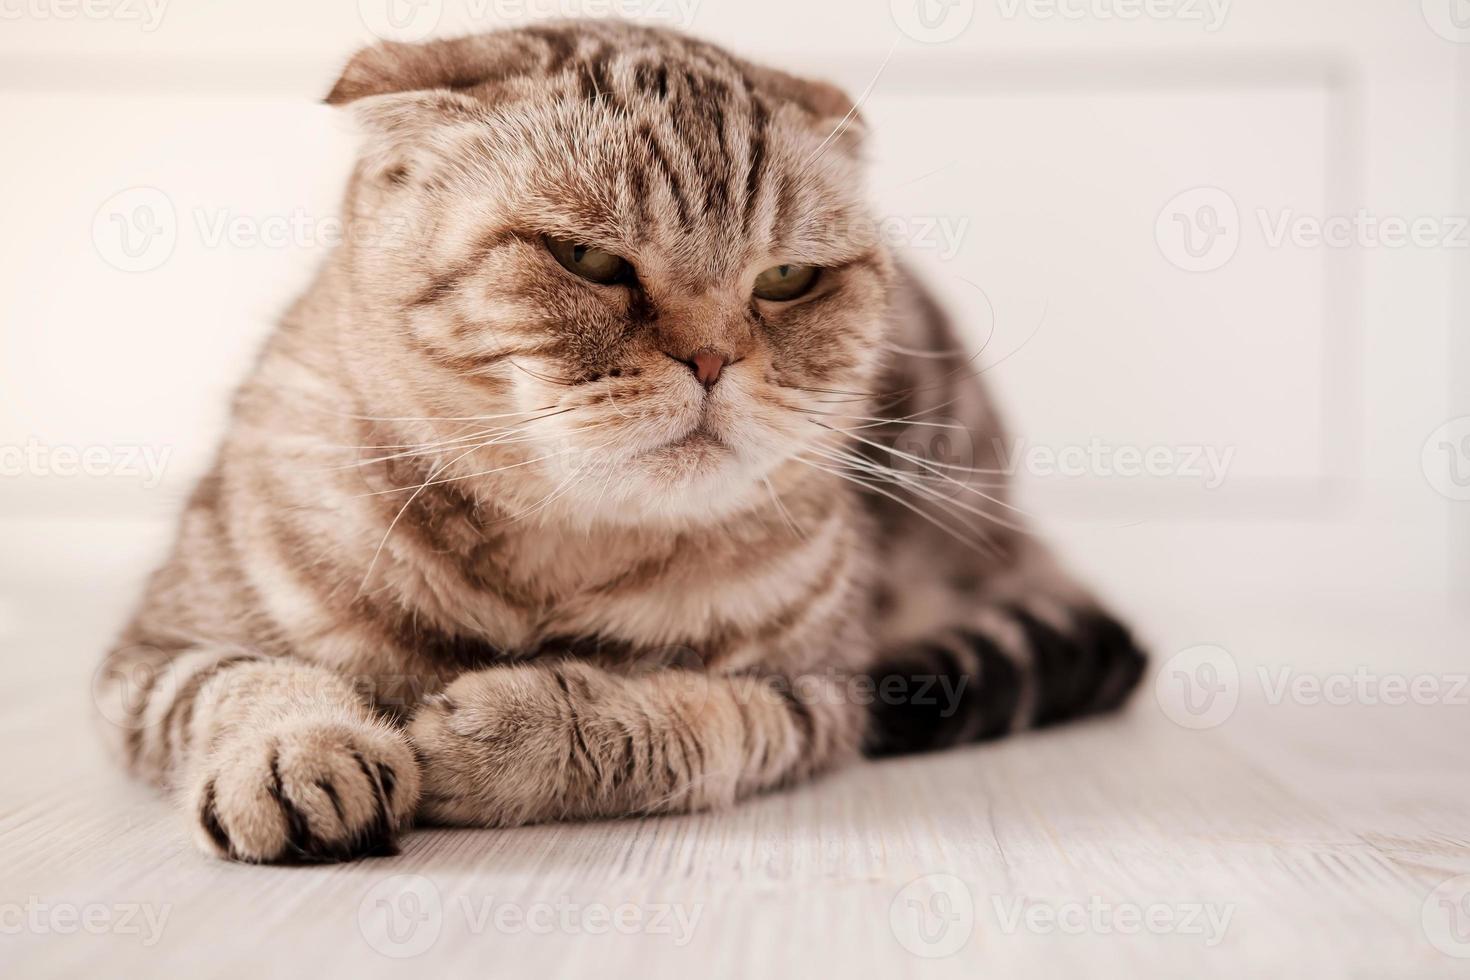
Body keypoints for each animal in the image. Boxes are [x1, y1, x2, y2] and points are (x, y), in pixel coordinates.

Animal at [97, 21, 1146, 863]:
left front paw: (497, 731)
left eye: (788, 279)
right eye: (588, 259)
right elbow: (240, 681)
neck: (556, 554)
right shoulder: (154, 648)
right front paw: (301, 752)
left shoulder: (816, 692)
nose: (712, 358)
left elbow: (681, 716)